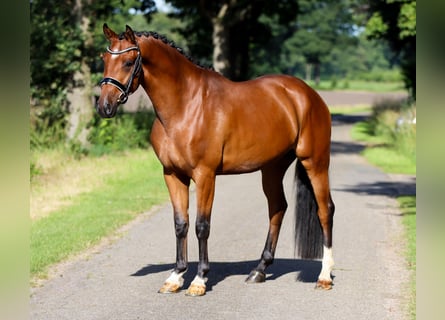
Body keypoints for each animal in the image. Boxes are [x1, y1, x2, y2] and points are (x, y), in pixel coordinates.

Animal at [96, 25, 332, 298]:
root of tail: (308, 94)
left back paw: (325, 276)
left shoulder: (205, 175)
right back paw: (259, 270)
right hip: (272, 168)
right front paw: (175, 277)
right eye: (104, 59)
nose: (104, 106)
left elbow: (202, 225)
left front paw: (199, 280)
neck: (185, 105)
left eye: (128, 61)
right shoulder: (172, 174)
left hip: (315, 162)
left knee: (325, 210)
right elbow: (181, 224)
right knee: (277, 208)